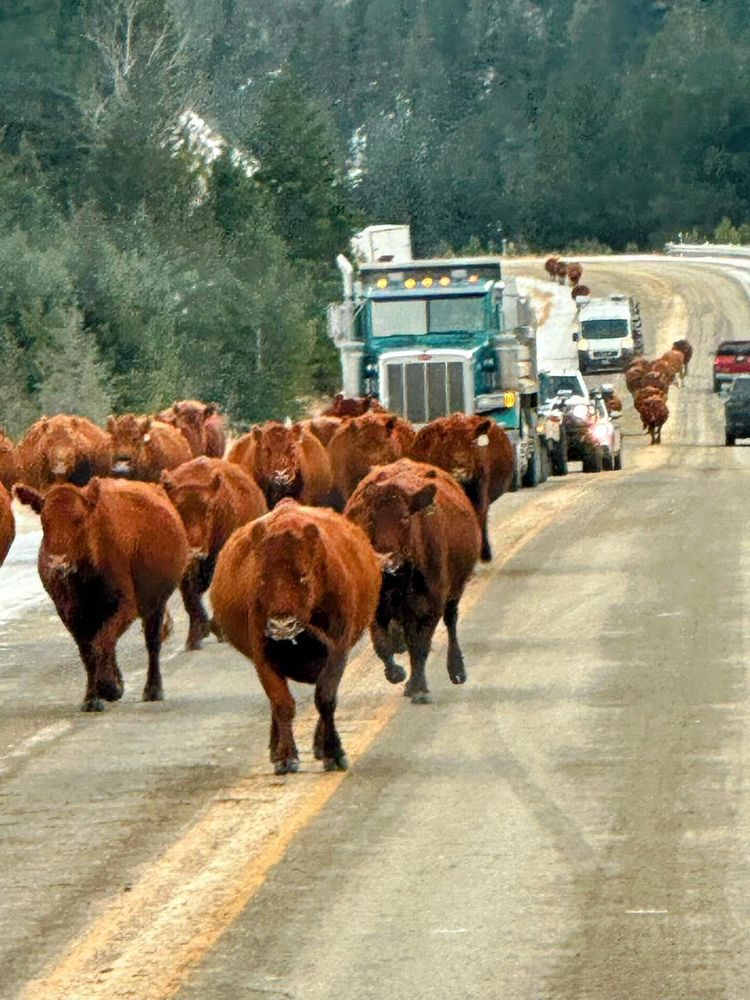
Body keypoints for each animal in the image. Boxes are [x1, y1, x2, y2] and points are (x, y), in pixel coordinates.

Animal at [15, 478, 188, 708]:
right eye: (44, 520)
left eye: (79, 520)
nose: (58, 564)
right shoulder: (71, 615)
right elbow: (88, 650)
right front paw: (92, 698)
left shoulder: (127, 606)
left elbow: (102, 642)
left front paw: (109, 688)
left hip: (156, 604)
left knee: (152, 642)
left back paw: (153, 690)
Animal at [163, 458, 268, 652]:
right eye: (178, 510)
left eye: (209, 511)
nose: (195, 551)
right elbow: (190, 596)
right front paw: (195, 637)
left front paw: (215, 629)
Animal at [212, 500, 382, 772]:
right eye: (261, 577)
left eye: (304, 575)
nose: (282, 624)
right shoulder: (263, 655)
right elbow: (282, 703)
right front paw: (285, 757)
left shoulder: (338, 650)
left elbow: (325, 698)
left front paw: (334, 753)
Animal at [346, 458, 482, 704]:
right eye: (366, 518)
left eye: (404, 517)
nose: (389, 562)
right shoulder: (377, 611)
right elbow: (382, 645)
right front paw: (396, 674)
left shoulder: (430, 607)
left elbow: (420, 646)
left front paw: (417, 688)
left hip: (453, 593)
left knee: (451, 623)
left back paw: (456, 671)